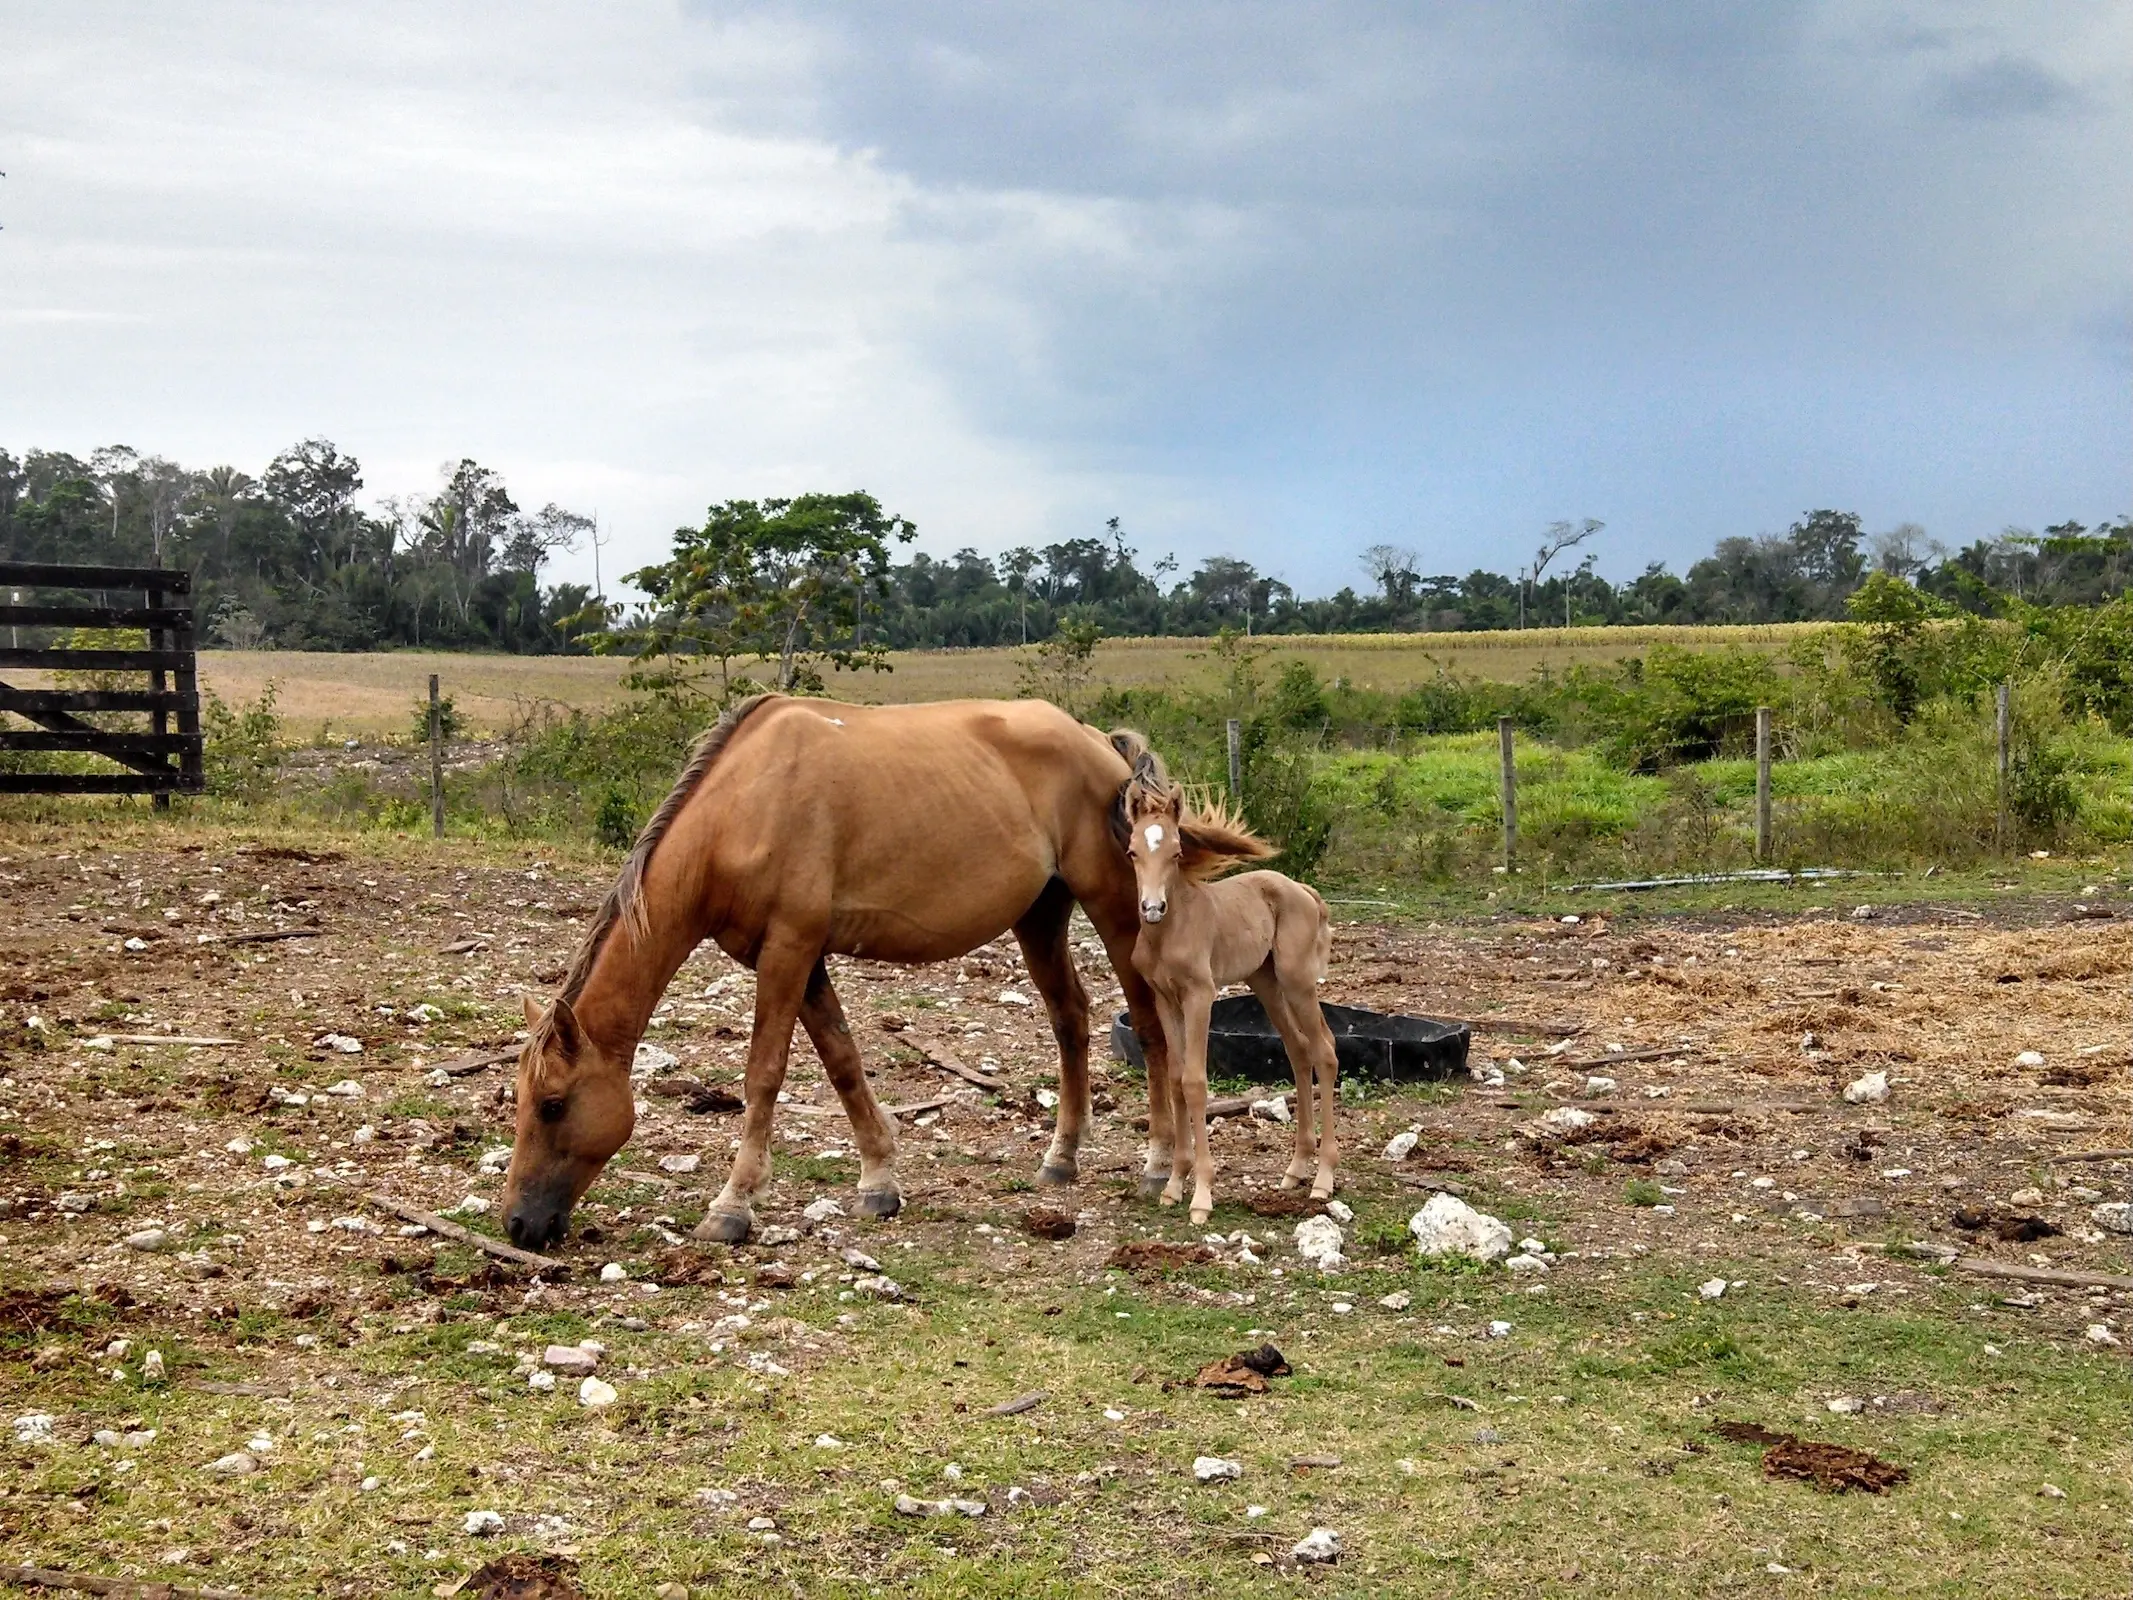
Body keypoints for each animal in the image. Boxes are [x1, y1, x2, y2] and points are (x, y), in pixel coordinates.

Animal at [501, 693, 1181, 1249]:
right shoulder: (799, 961)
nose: (518, 1225)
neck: (743, 808)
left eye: (553, 1105)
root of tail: (1097, 741)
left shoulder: (788, 951)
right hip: (1040, 917)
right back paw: (1061, 1158)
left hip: (1118, 912)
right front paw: (878, 1182)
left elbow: (764, 1074)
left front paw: (733, 1206)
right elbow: (843, 1062)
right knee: (1070, 1019)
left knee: (1150, 1027)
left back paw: (1158, 1165)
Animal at [1111, 735, 1340, 1225]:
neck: (1169, 931)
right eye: (1133, 852)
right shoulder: (1166, 999)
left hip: (1296, 981)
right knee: (1298, 1050)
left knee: (1325, 1051)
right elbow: (1176, 1078)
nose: (1152, 908)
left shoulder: (1200, 996)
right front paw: (1173, 1185)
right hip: (1266, 983)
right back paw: (1295, 1169)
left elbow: (1196, 1081)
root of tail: (1302, 890)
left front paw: (1201, 1195)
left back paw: (1323, 1177)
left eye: (1177, 852)